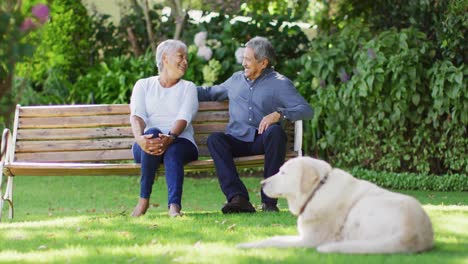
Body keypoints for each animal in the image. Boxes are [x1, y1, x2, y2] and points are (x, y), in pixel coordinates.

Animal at [239, 157, 434, 254]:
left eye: (283, 172)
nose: (262, 183)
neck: (317, 191)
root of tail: (413, 234)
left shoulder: (309, 240)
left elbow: (272, 241)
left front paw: (245, 246)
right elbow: (275, 236)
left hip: (364, 209)